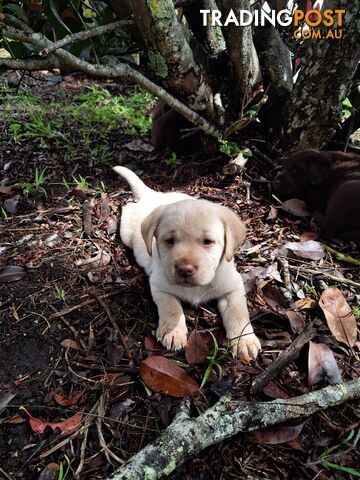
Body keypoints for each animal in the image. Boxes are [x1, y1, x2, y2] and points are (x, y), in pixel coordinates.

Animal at [114, 167, 260, 358]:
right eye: (170, 240)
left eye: (208, 241)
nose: (185, 269)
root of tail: (152, 194)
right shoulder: (159, 286)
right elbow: (171, 307)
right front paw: (173, 331)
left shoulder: (233, 286)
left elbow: (238, 311)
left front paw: (244, 340)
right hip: (126, 233)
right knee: (128, 207)